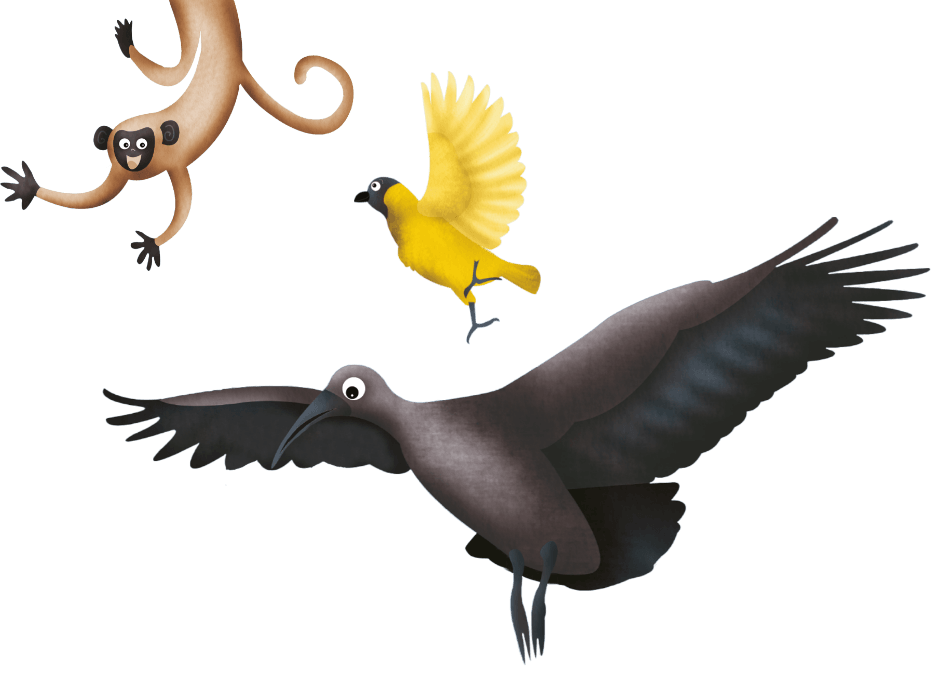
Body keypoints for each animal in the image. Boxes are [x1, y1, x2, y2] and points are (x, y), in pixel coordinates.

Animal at [1, 1, 353, 270]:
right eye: (123, 144)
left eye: (142, 143)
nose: (132, 157)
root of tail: (236, 64)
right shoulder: (119, 172)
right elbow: (95, 197)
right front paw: (30, 188)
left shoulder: (173, 163)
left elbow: (182, 204)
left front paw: (154, 241)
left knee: (177, 70)